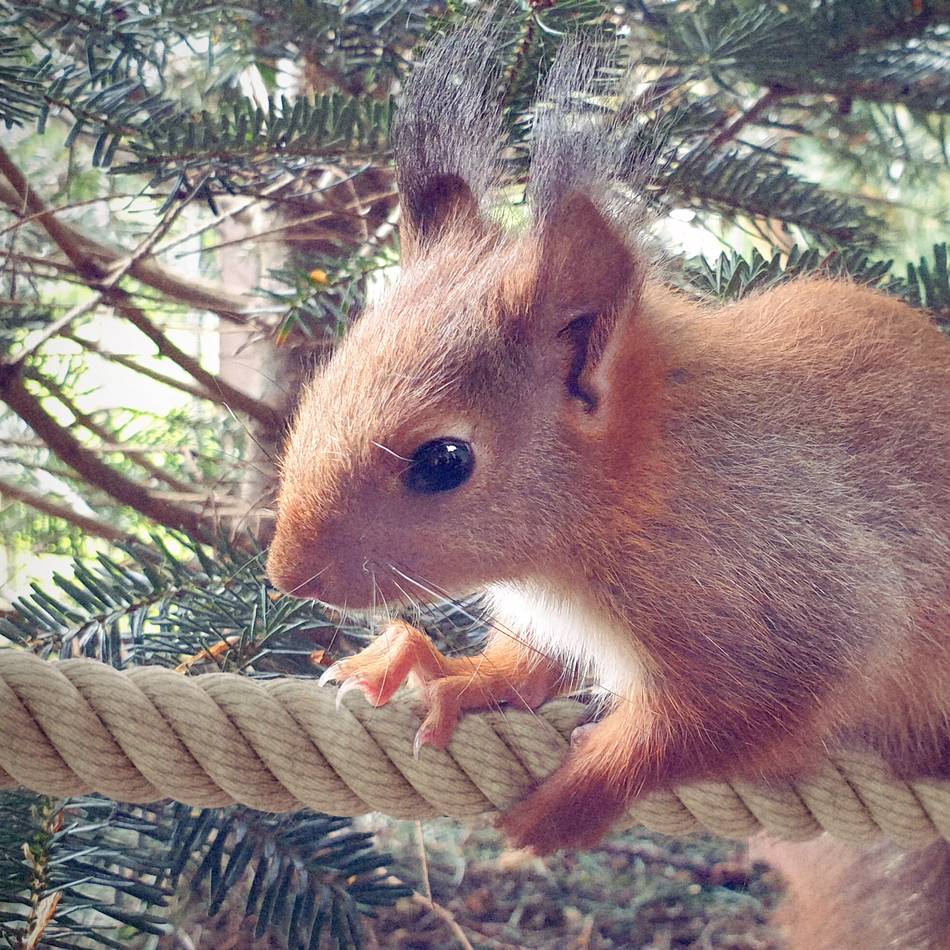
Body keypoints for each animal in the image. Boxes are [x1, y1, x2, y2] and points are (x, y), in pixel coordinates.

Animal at [266, 29, 950, 859]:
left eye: (444, 461)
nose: (286, 574)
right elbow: (530, 664)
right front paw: (448, 669)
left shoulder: (813, 603)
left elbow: (720, 726)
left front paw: (580, 794)